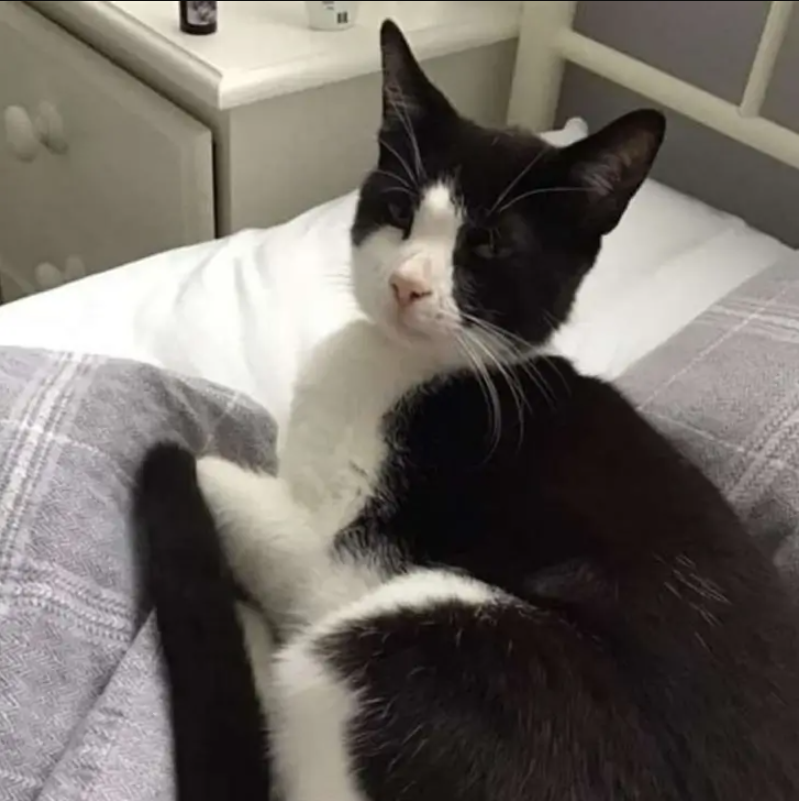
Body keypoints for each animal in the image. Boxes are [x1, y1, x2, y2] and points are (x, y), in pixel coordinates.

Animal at [134, 18, 799, 800]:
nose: (406, 283)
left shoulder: (339, 559)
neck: (420, 368)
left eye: (486, 244)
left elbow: (208, 466)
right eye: (398, 211)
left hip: (420, 634)